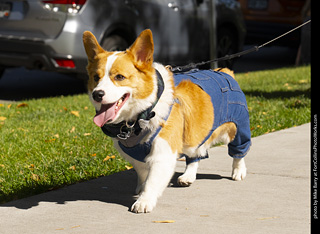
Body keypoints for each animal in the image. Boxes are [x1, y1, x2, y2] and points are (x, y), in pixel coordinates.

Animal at [82, 28, 250, 213]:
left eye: (119, 77)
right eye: (95, 77)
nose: (97, 94)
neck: (142, 114)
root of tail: (225, 71)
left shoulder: (163, 154)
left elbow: (152, 181)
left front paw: (144, 201)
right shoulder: (136, 156)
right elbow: (143, 174)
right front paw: (140, 189)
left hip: (237, 128)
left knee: (239, 152)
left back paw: (238, 171)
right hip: (196, 133)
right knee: (195, 155)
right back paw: (188, 176)